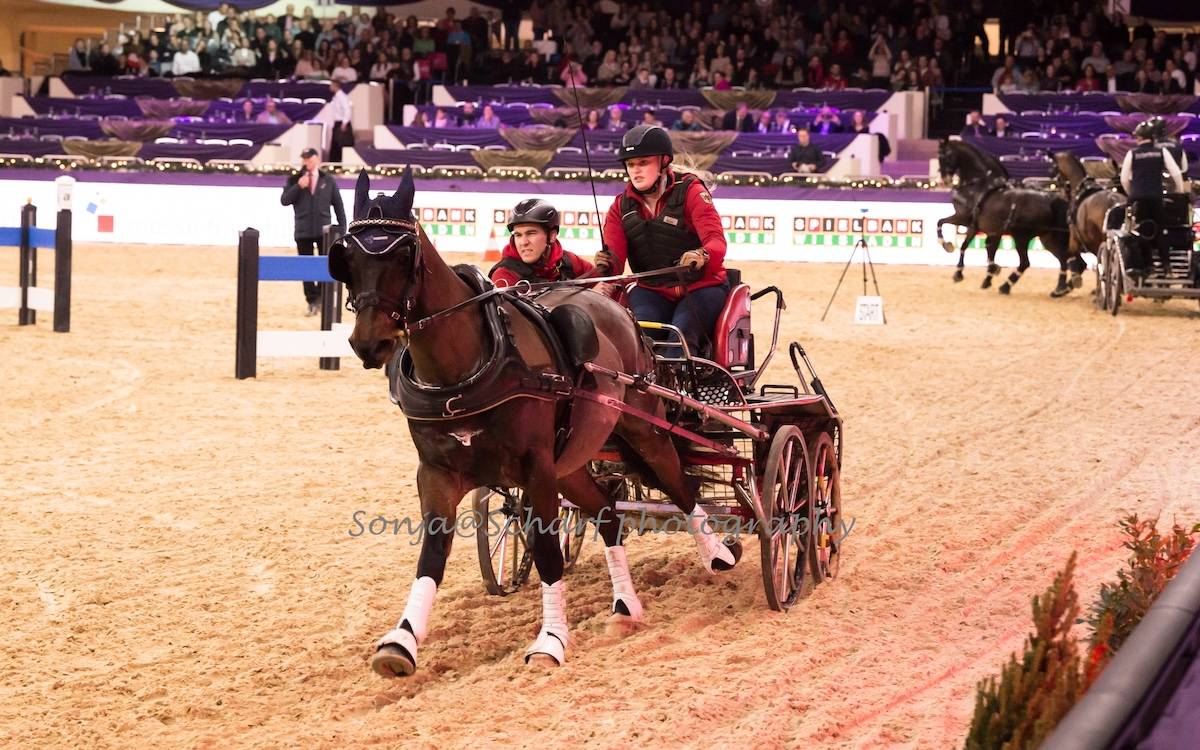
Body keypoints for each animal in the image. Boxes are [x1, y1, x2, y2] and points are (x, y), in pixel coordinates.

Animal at [328, 168, 742, 678]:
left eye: (404, 255)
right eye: (346, 256)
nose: (370, 343)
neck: (464, 367)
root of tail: (621, 312)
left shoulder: (535, 469)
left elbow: (546, 553)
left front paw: (551, 639)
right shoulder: (437, 473)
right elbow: (432, 555)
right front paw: (400, 642)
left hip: (641, 430)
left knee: (680, 486)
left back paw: (717, 554)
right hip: (574, 460)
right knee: (607, 511)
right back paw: (625, 607)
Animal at [936, 139, 1077, 297]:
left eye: (945, 157)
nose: (944, 180)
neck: (978, 185)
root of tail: (1049, 198)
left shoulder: (967, 221)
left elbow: (958, 241)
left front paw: (956, 267)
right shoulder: (993, 231)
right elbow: (989, 250)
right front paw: (990, 274)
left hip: (1021, 237)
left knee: (1025, 263)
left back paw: (1006, 286)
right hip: (1047, 237)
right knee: (1063, 259)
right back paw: (1061, 288)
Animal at [1051, 150, 1126, 290]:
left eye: (1053, 168)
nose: (1061, 191)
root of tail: (1114, 201)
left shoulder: (1074, 235)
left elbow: (1071, 252)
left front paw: (1075, 279)